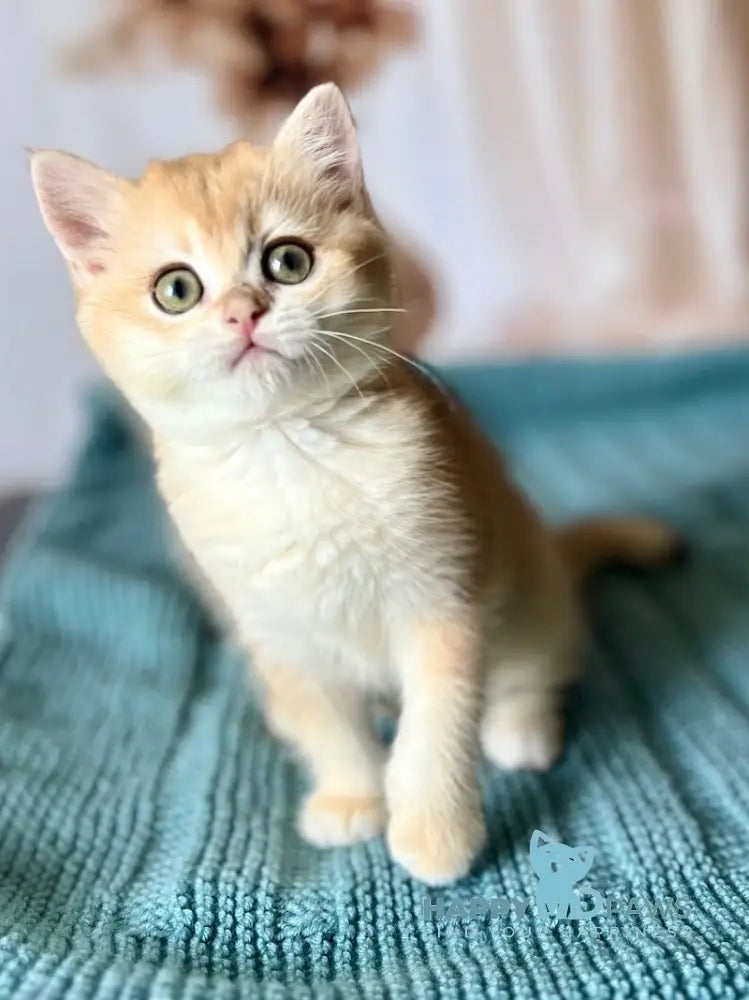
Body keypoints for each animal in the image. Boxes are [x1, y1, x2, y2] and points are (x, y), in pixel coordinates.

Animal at [29, 84, 676, 884]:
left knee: (539, 663)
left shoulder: (444, 601)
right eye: (176, 289)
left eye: (288, 261)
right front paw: (350, 795)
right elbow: (325, 719)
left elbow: (439, 719)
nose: (244, 312)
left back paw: (520, 726)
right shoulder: (273, 628)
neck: (287, 453)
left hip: (529, 588)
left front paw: (433, 830)